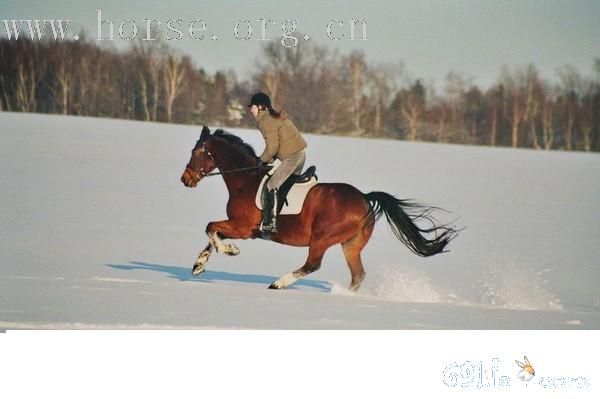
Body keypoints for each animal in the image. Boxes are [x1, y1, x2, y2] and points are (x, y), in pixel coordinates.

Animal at [180, 126, 458, 292]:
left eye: (195, 152)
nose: (185, 179)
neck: (245, 179)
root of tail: (364, 198)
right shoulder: (238, 227)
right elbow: (212, 232)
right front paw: (199, 265)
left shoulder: (243, 228)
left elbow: (211, 228)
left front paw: (229, 251)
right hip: (350, 245)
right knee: (358, 274)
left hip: (322, 238)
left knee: (313, 264)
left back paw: (278, 284)